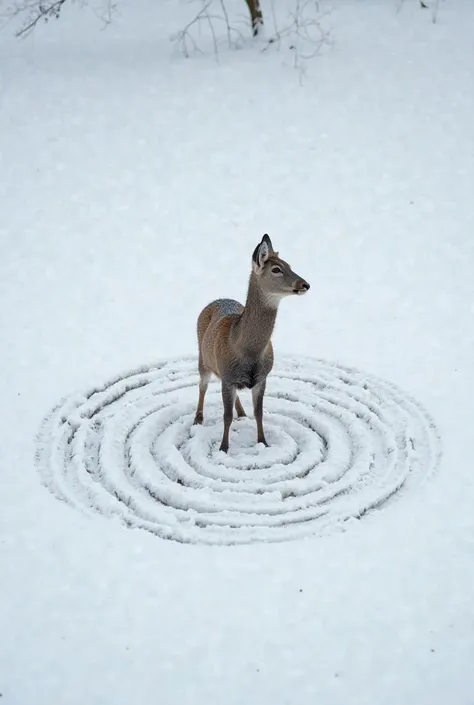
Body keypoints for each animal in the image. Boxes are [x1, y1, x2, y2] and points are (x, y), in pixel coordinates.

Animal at [193, 231, 312, 452]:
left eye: (289, 265)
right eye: (276, 269)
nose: (305, 284)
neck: (246, 350)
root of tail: (215, 301)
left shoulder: (262, 377)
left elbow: (259, 412)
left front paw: (263, 442)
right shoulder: (228, 377)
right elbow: (226, 416)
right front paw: (223, 447)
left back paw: (242, 413)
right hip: (202, 358)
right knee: (202, 385)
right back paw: (198, 418)